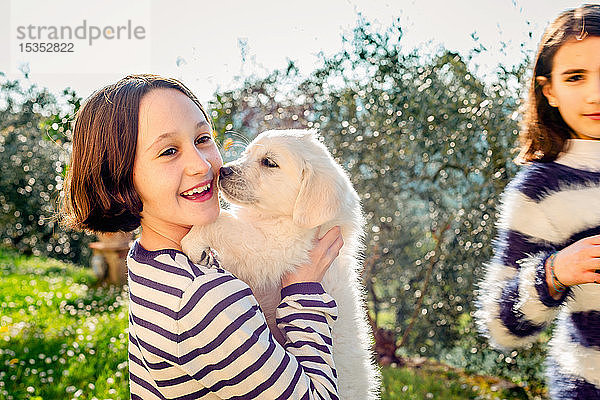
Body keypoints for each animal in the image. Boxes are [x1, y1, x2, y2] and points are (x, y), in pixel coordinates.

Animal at [180, 130, 382, 398]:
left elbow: (224, 221)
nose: (223, 170)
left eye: (269, 163)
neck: (279, 219)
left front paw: (194, 241)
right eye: (247, 154)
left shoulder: (275, 249)